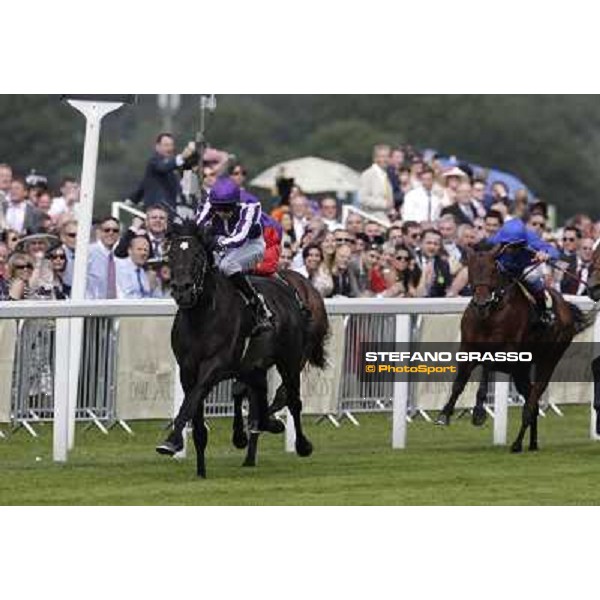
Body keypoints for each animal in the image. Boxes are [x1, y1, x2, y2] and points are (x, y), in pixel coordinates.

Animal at [152, 220, 326, 478]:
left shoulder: (215, 365)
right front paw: (200, 470)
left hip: (290, 359)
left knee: (292, 399)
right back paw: (260, 430)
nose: (182, 289)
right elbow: (195, 410)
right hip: (255, 366)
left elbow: (193, 398)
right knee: (259, 397)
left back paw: (301, 444)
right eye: (170, 255)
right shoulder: (187, 368)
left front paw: (171, 441)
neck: (202, 316)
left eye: (198, 255)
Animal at [436, 241, 592, 452]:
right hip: (521, 370)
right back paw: (532, 443)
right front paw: (444, 414)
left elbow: (486, 368)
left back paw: (517, 443)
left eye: (493, 270)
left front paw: (478, 412)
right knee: (532, 401)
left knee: (532, 400)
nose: (481, 302)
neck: (489, 315)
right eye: (471, 269)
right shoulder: (468, 349)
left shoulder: (508, 355)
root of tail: (566, 307)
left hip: (548, 360)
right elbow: (459, 382)